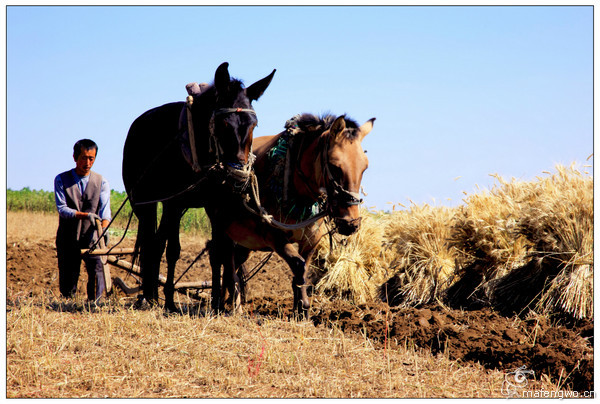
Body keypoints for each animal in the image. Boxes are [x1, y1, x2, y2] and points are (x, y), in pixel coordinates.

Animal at [122, 62, 276, 310]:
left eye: (254, 125)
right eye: (224, 124)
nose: (238, 177)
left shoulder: (217, 204)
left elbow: (219, 251)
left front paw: (217, 302)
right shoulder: (176, 203)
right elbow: (174, 250)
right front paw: (170, 301)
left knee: (156, 243)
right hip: (145, 204)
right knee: (152, 244)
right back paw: (150, 296)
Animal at [207, 112, 376, 314]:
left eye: (364, 167)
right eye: (335, 166)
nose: (351, 223)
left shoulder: (312, 239)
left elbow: (302, 269)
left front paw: (299, 308)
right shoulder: (274, 236)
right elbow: (298, 265)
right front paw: (302, 307)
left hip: (244, 240)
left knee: (232, 263)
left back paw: (228, 301)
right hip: (220, 227)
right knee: (221, 259)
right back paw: (224, 304)